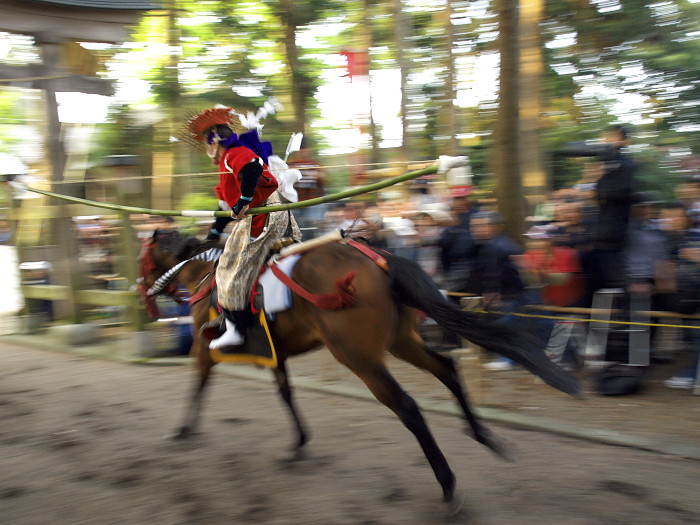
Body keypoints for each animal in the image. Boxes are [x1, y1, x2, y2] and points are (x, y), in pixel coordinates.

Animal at [142, 228, 580, 508]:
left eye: (144, 258)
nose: (144, 291)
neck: (208, 276)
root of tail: (381, 261)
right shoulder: (275, 354)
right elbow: (285, 393)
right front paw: (298, 443)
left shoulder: (204, 349)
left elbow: (198, 383)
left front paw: (183, 428)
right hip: (401, 341)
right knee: (447, 369)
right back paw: (484, 436)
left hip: (359, 356)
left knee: (408, 407)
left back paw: (448, 486)